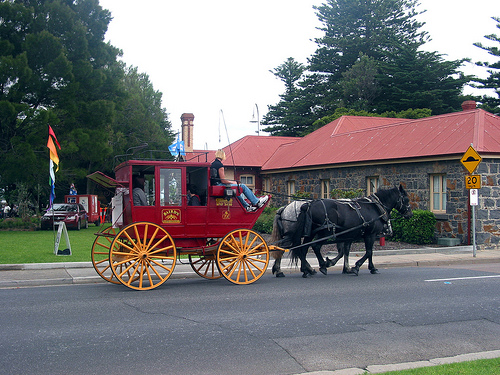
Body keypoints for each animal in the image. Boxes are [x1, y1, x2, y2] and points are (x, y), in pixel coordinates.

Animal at [272, 186, 412, 280]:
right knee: (311, 247)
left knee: (301, 249)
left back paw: (306, 270)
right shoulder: (369, 235)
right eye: (406, 199)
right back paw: (318, 266)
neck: (374, 207)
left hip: (309, 233)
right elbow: (368, 252)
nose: (410, 214)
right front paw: (359, 267)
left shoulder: (348, 235)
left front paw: (347, 268)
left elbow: (345, 251)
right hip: (323, 232)